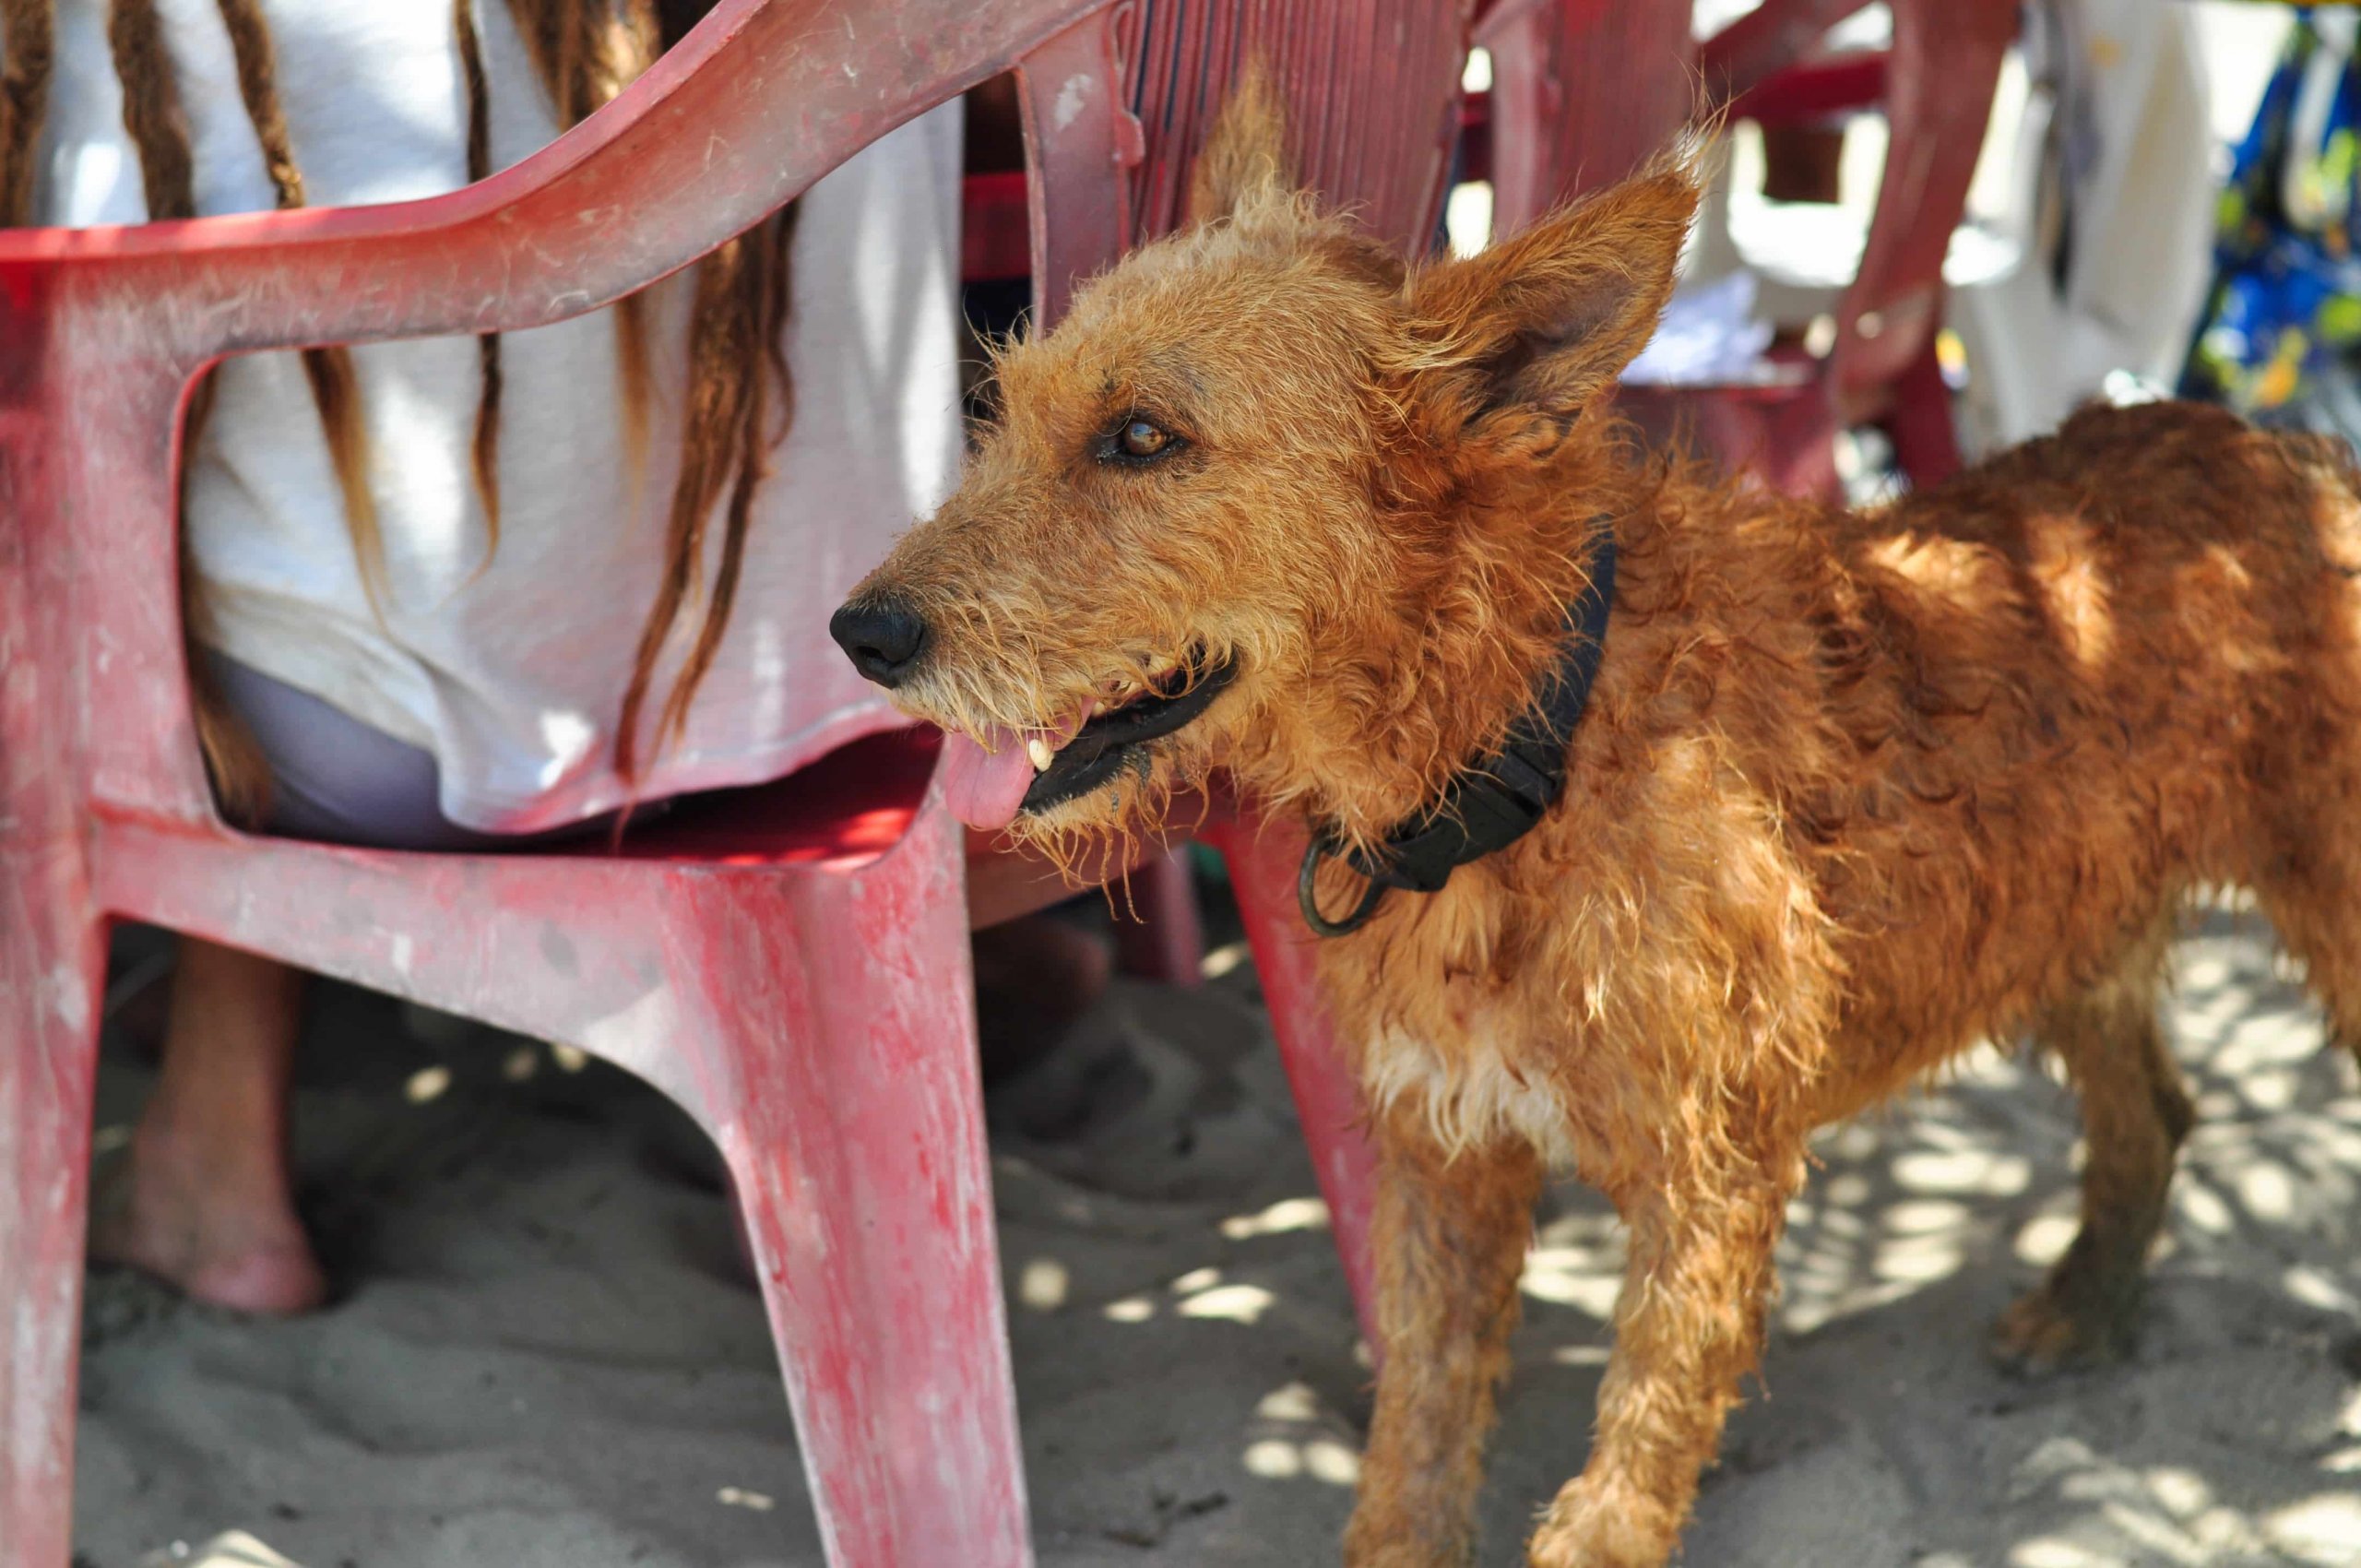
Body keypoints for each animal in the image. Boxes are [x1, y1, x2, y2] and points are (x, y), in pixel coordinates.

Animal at [826, 82, 2361, 1568]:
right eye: (1004, 406)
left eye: (1144, 438)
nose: (858, 634)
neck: (1527, 747)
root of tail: (2277, 447)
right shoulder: (1442, 1164)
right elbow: (1416, 1440)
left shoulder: (1711, 1179)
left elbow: (1629, 1466)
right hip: (2072, 920)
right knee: (2155, 1106)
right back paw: (2089, 1303)